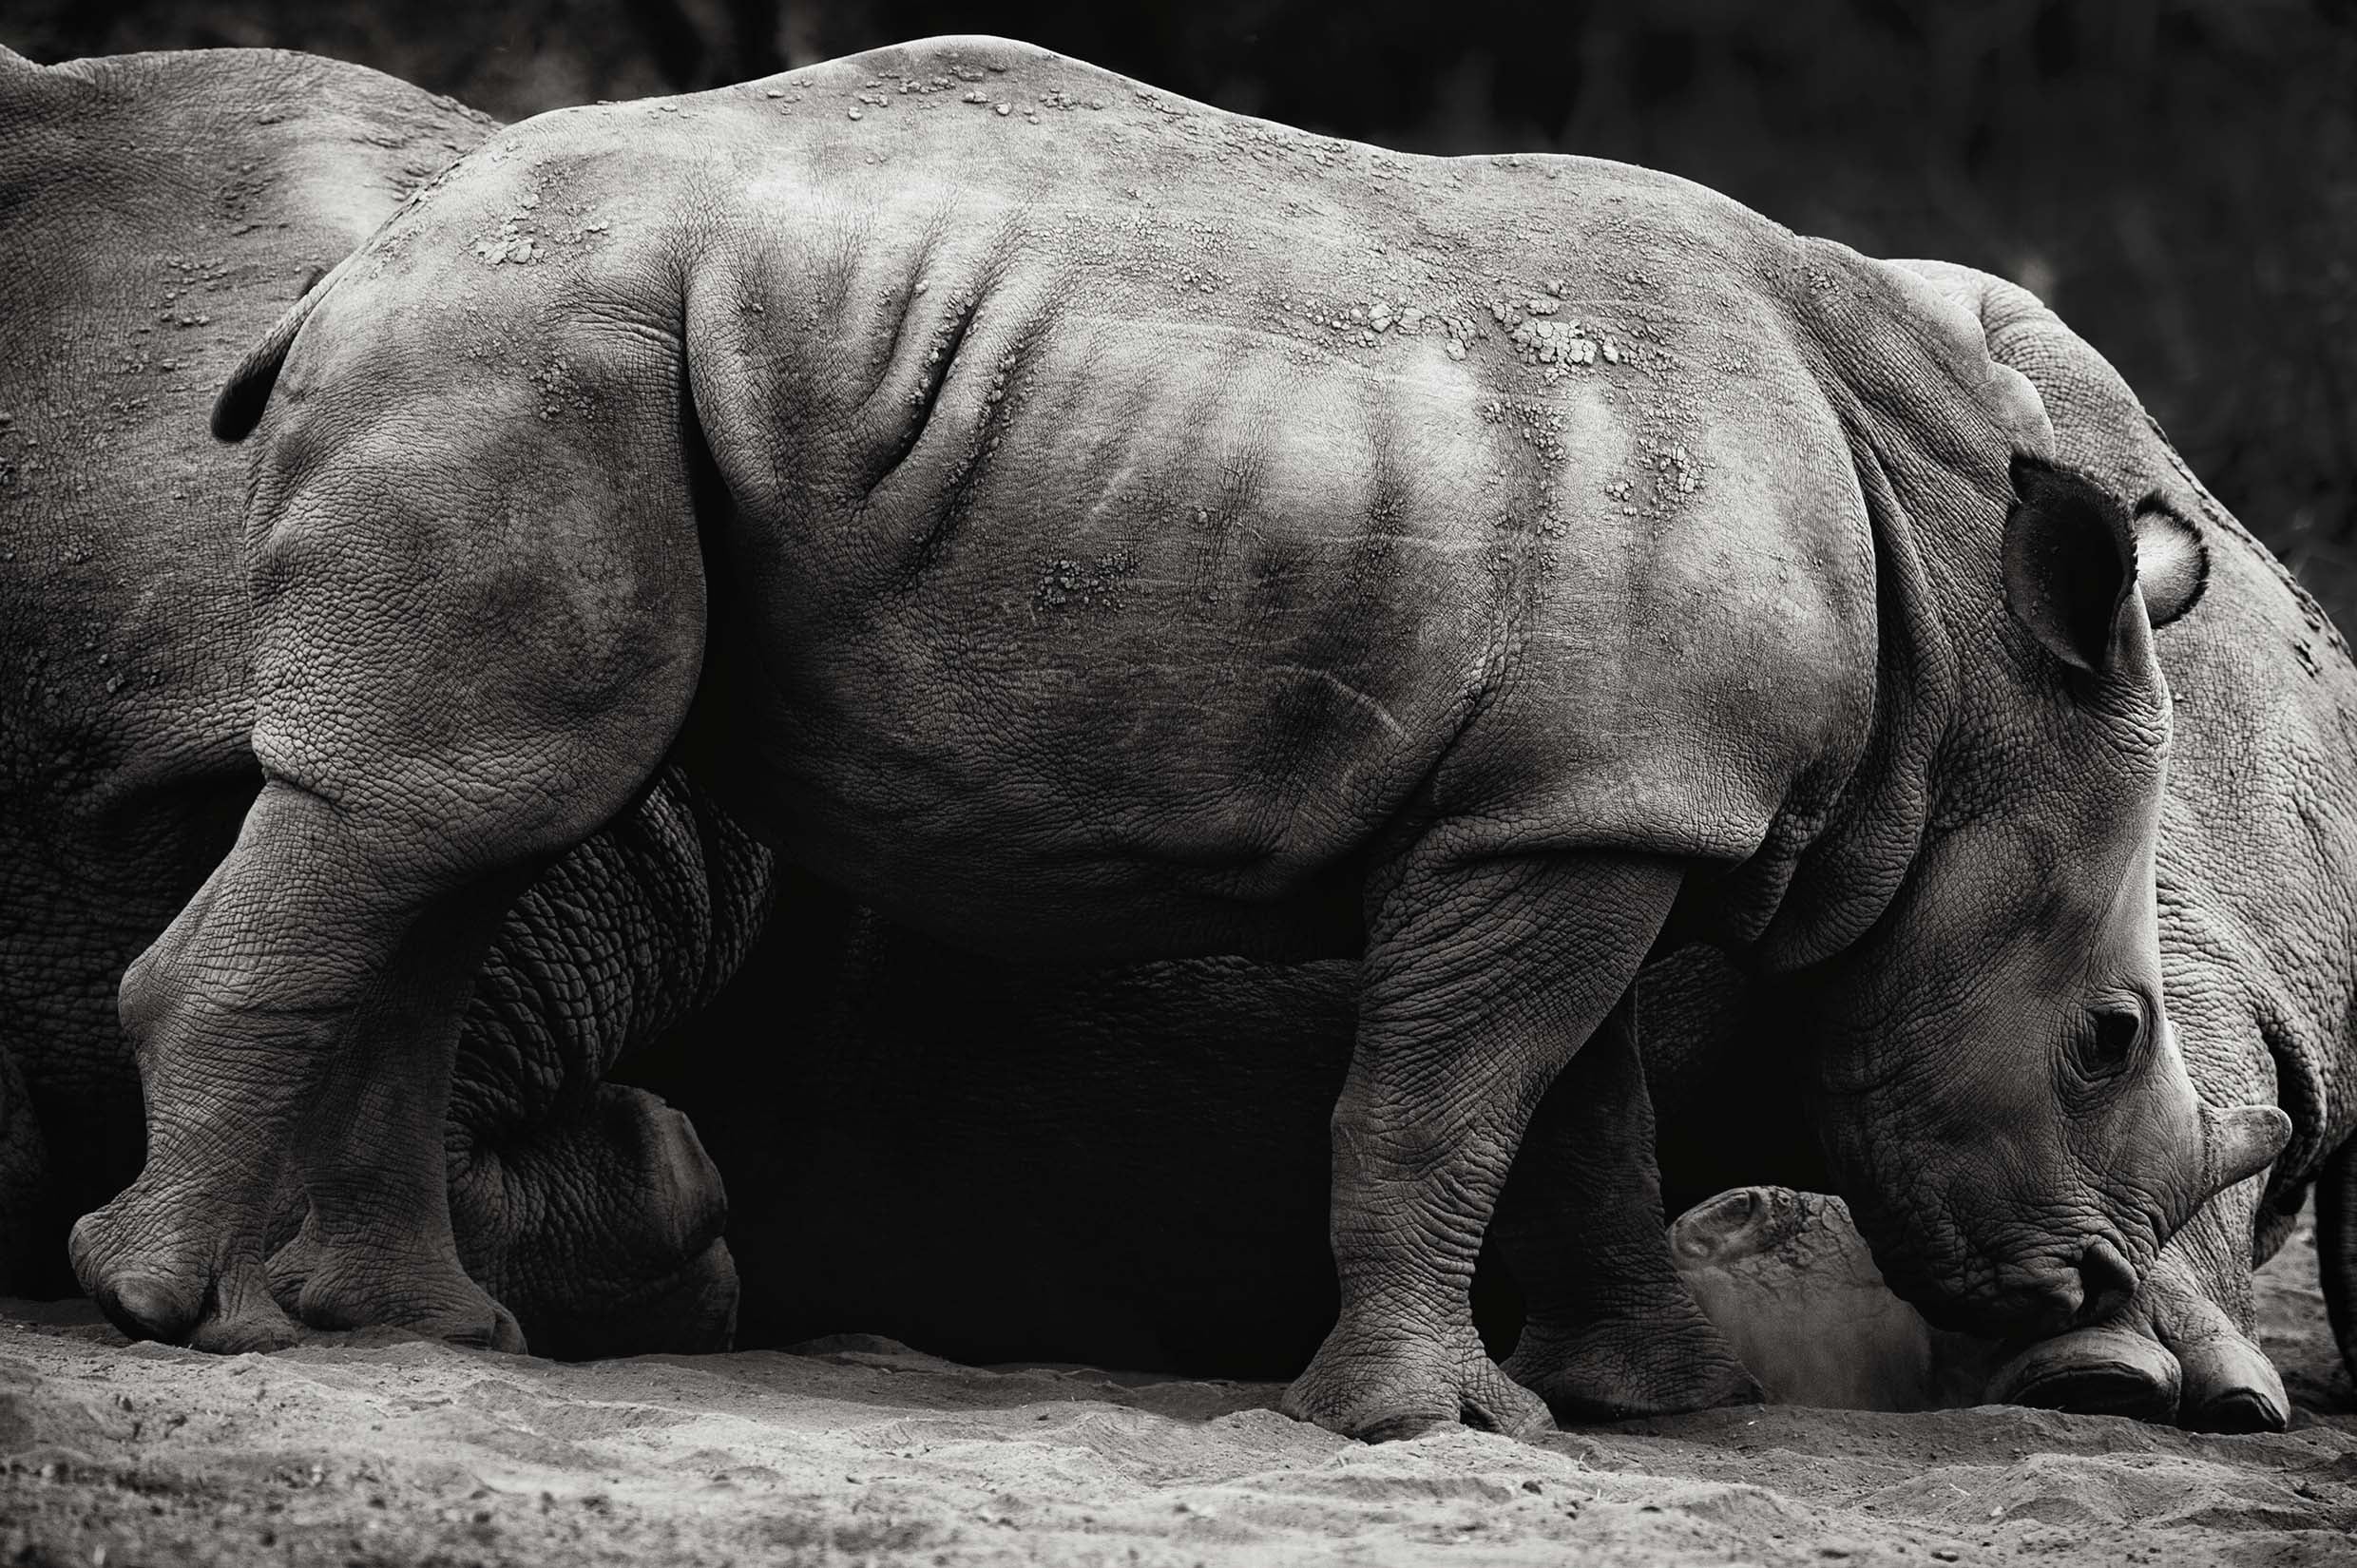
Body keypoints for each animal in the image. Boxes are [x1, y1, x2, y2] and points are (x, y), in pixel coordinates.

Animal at [83, 27, 2290, 1443]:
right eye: (2104, 1040)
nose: (2085, 1302)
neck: (1961, 653)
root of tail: (363, 258)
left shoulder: (1592, 799)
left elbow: (1578, 1114)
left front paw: (1655, 1404)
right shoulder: (1582, 814)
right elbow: (1458, 1099)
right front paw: (1425, 1432)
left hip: (549, 353)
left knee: (466, 825)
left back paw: (425, 1339)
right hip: (530, 350)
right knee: (445, 810)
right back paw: (167, 1313)